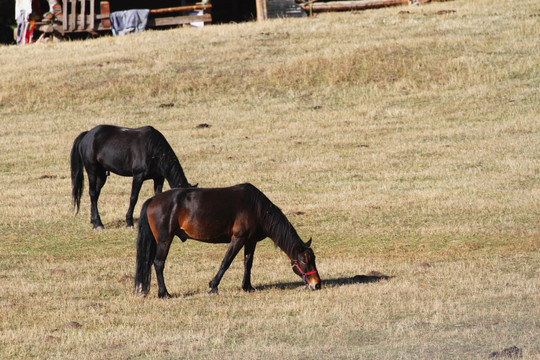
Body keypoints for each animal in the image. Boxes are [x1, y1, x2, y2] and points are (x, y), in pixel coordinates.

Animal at [135, 183, 320, 298]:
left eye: (314, 259)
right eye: (304, 261)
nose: (317, 284)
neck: (257, 208)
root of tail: (153, 199)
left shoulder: (250, 241)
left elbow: (248, 263)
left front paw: (247, 287)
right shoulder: (238, 238)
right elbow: (226, 262)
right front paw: (213, 286)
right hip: (164, 240)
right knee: (158, 263)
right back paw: (164, 293)